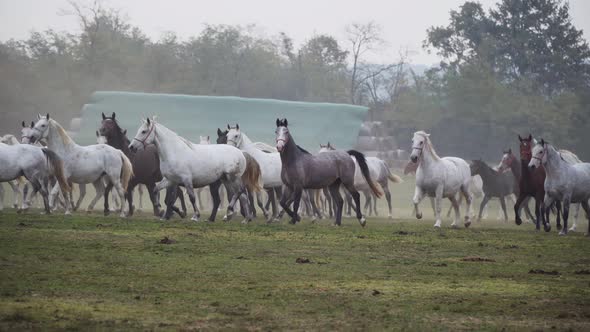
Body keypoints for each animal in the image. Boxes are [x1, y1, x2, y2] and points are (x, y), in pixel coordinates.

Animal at [130, 116, 262, 223]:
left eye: (143, 131)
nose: (131, 147)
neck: (174, 152)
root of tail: (241, 153)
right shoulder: (171, 181)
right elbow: (160, 194)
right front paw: (171, 212)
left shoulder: (187, 180)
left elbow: (191, 197)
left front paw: (195, 216)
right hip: (226, 180)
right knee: (241, 196)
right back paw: (242, 218)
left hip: (233, 178)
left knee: (239, 192)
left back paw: (232, 212)